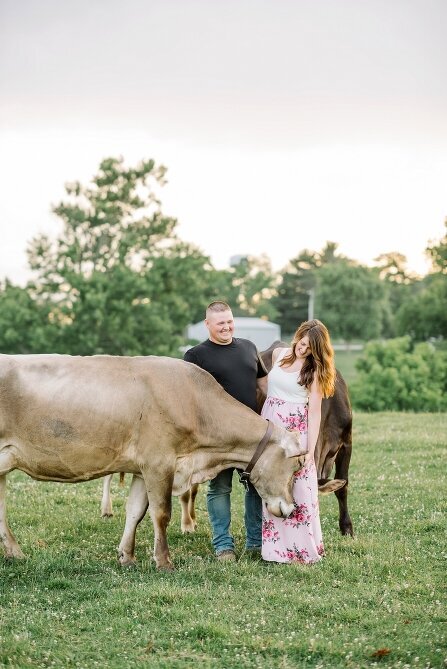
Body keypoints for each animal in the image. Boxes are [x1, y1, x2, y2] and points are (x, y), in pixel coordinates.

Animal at [0, 352, 308, 568]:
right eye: (295, 466)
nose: (292, 508)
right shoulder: (159, 463)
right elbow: (161, 514)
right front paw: (163, 561)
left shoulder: (141, 468)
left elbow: (135, 511)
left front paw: (126, 556)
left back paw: (14, 552)